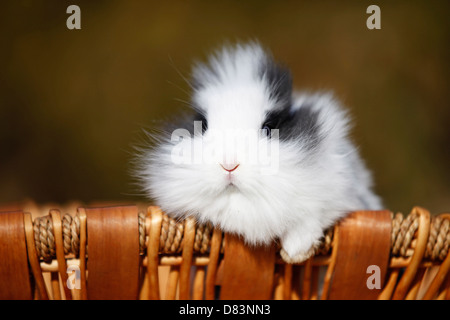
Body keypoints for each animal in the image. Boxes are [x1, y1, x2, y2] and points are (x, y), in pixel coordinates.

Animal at [135, 41, 382, 262]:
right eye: (203, 125)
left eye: (268, 128)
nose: (229, 165)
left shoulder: (338, 193)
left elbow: (311, 219)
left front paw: (295, 253)